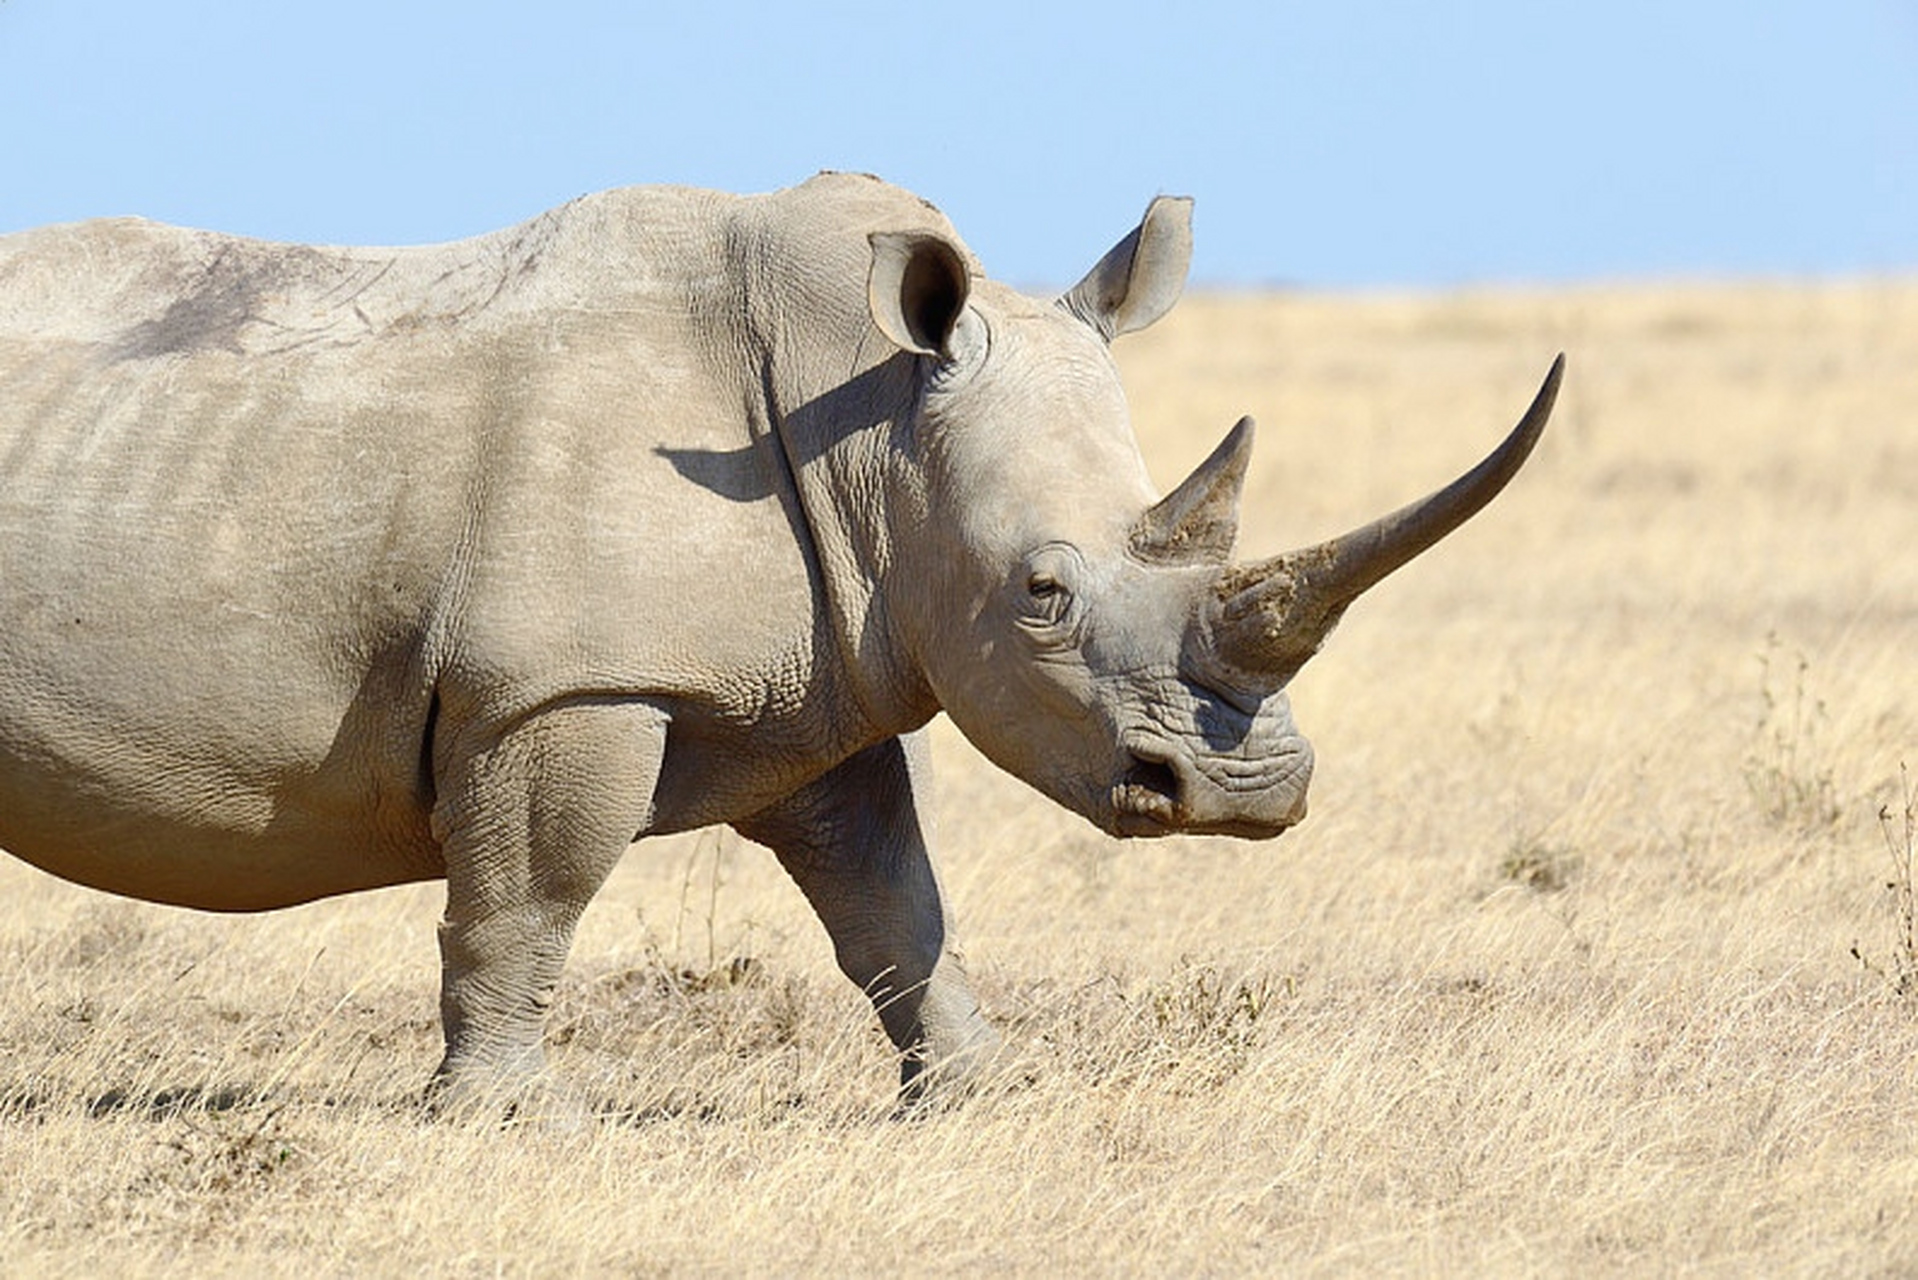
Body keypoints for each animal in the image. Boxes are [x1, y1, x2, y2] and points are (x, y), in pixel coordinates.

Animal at [0, 175, 1557, 1105]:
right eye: (1042, 594)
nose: (1246, 797)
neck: (866, 422)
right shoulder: (556, 686)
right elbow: (529, 897)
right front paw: (512, 1119)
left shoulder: (825, 678)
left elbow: (892, 903)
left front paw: (981, 1094)